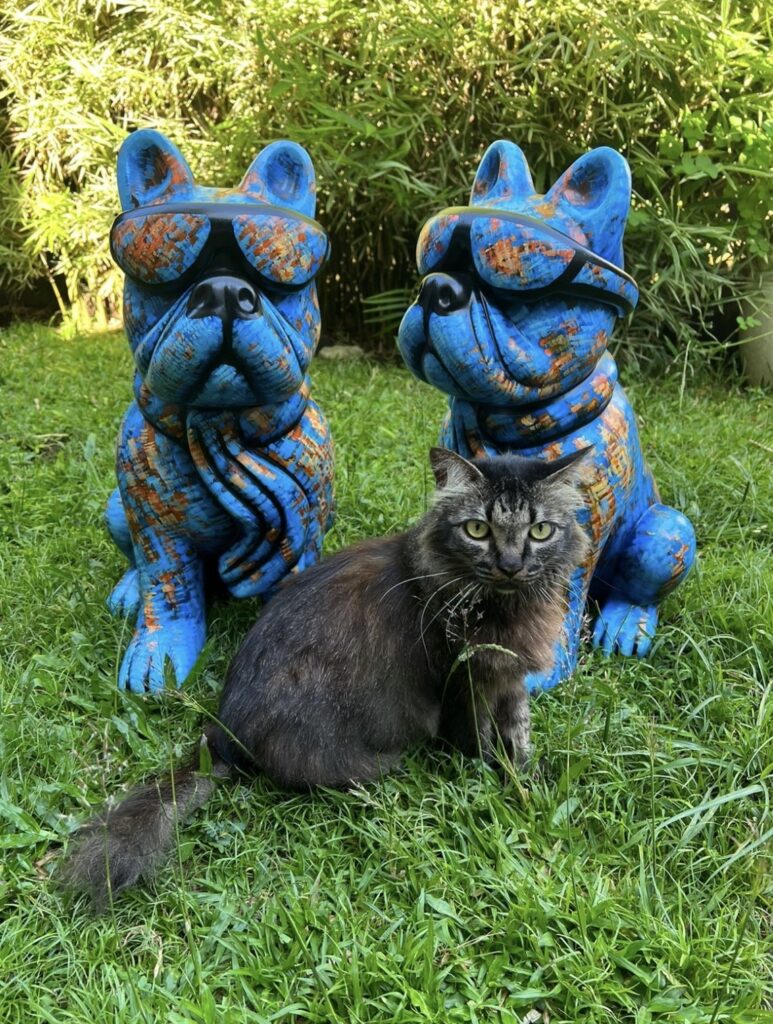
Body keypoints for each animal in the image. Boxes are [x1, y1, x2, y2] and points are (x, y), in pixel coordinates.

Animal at [62, 446, 589, 908]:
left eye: (540, 530)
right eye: (477, 529)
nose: (511, 565)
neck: (506, 606)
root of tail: (222, 734)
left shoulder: (510, 679)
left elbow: (519, 732)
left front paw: (528, 779)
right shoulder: (467, 680)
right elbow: (478, 740)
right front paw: (497, 782)